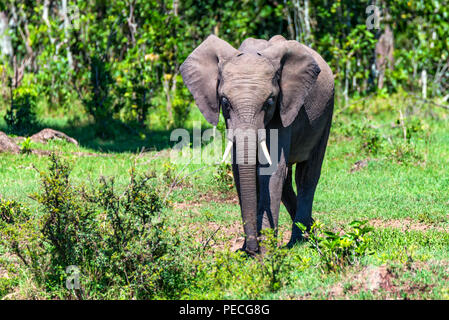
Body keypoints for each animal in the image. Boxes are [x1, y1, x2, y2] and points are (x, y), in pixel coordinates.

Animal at [179, 35, 332, 255]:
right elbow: (240, 170)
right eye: (225, 102)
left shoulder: (283, 108)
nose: (251, 249)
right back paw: (310, 231)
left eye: (269, 103)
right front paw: (247, 252)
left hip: (327, 113)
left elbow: (270, 171)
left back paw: (297, 241)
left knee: (307, 175)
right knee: (287, 182)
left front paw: (266, 253)